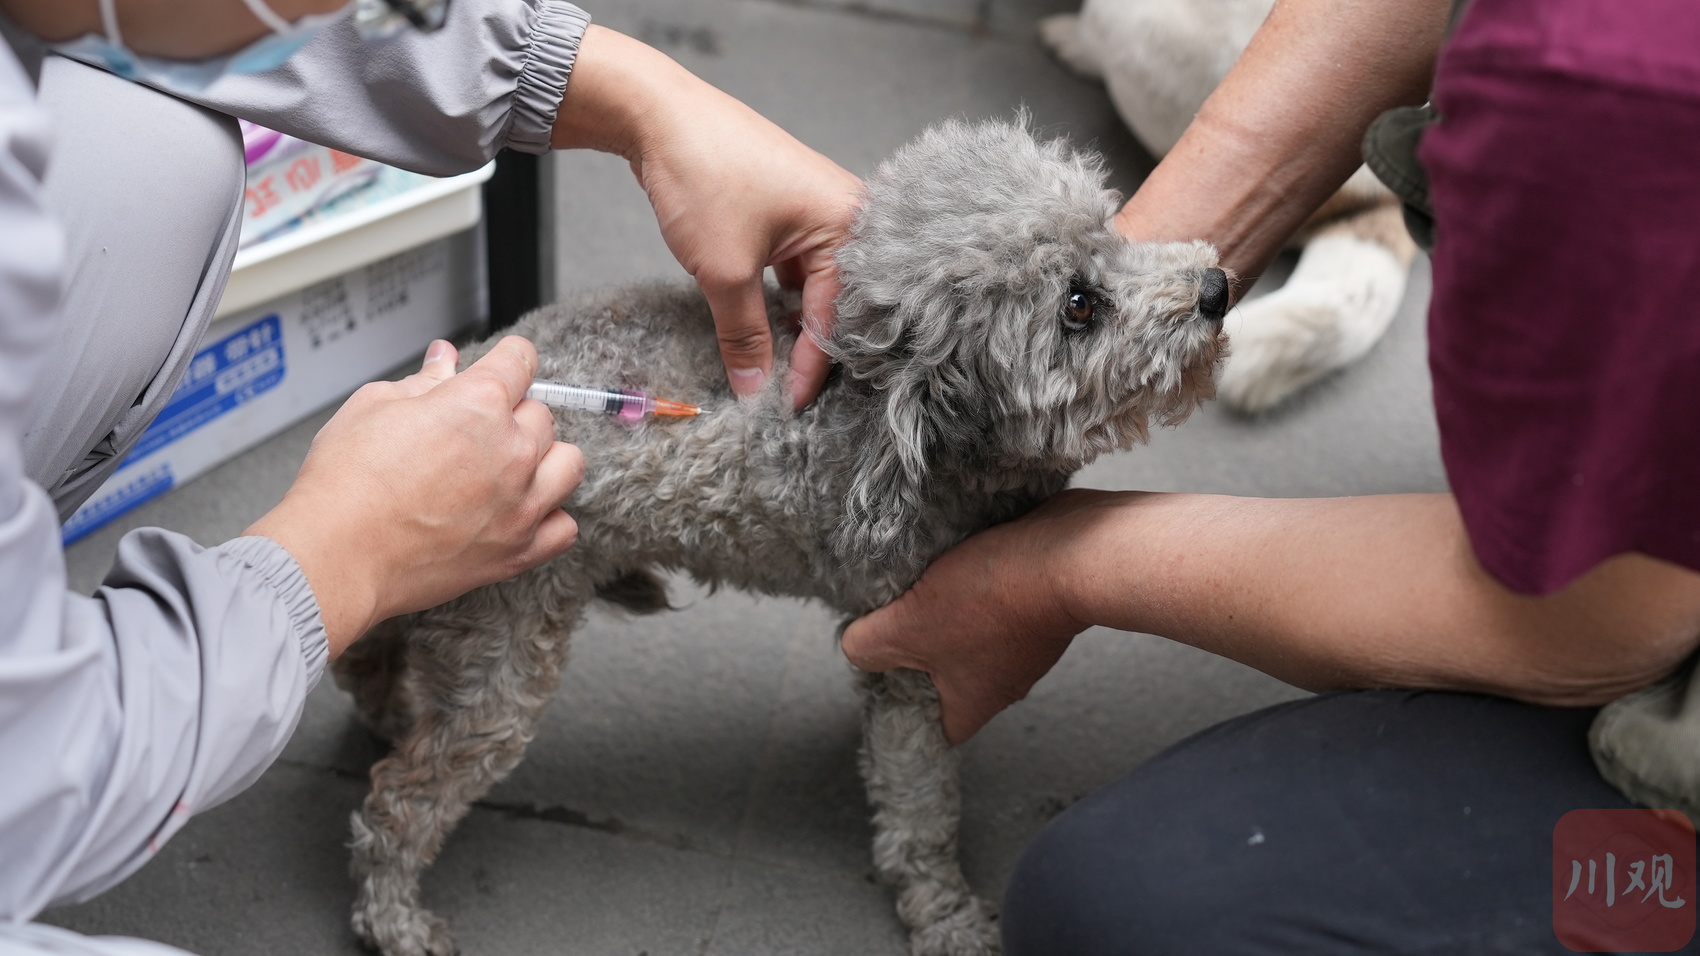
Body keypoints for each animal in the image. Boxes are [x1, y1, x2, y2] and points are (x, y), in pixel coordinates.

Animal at [338, 119, 1230, 952]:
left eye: (1113, 231)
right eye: (1079, 306)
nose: (1217, 286)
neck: (896, 434)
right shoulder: (914, 657)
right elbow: (919, 805)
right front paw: (944, 915)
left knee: (369, 653)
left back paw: (388, 711)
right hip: (504, 647)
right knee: (397, 801)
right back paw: (395, 917)